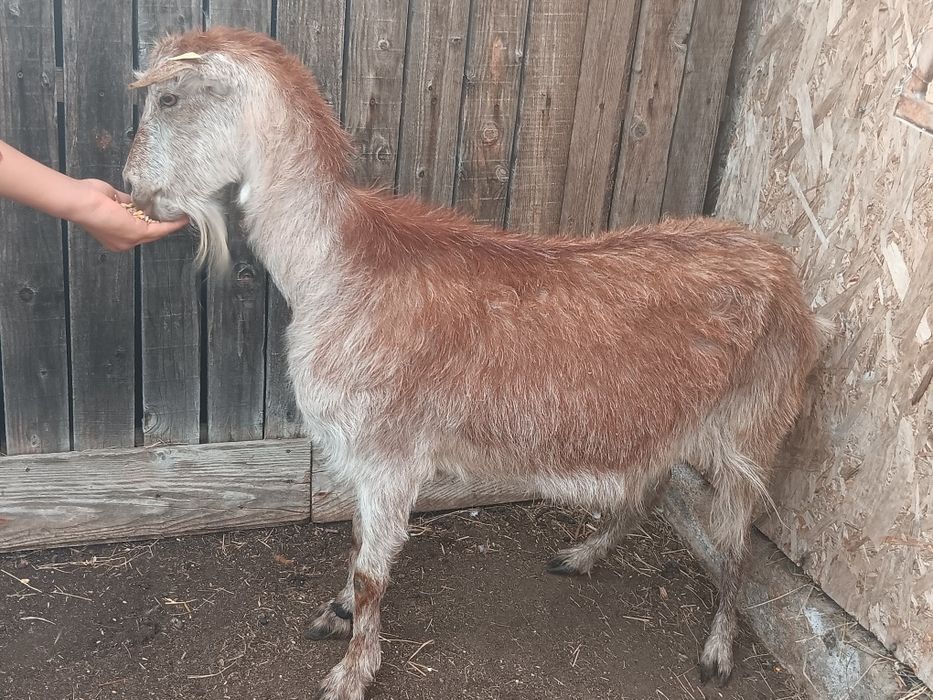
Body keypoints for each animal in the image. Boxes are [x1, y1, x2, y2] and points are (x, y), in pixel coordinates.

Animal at [124, 27, 829, 700]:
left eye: (169, 98)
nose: (134, 187)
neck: (338, 267)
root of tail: (783, 269)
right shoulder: (363, 455)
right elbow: (356, 541)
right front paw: (337, 613)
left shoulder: (390, 452)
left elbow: (373, 570)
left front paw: (351, 673)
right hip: (668, 421)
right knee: (650, 488)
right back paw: (582, 555)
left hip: (749, 427)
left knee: (737, 543)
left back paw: (717, 650)